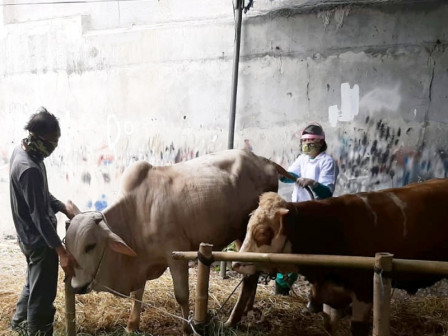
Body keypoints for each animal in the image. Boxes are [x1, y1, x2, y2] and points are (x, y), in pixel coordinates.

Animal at [64, 150, 294, 334]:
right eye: (67, 245)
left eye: (90, 245)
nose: (77, 287)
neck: (137, 212)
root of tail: (264, 160)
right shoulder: (142, 261)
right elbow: (138, 293)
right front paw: (132, 325)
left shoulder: (176, 255)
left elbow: (181, 295)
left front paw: (186, 327)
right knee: (252, 275)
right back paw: (245, 311)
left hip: (245, 232)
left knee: (248, 277)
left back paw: (232, 320)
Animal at [233, 180, 448, 336]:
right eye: (247, 227)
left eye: (263, 232)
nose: (236, 264)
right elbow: (329, 325)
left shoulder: (364, 290)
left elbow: (358, 328)